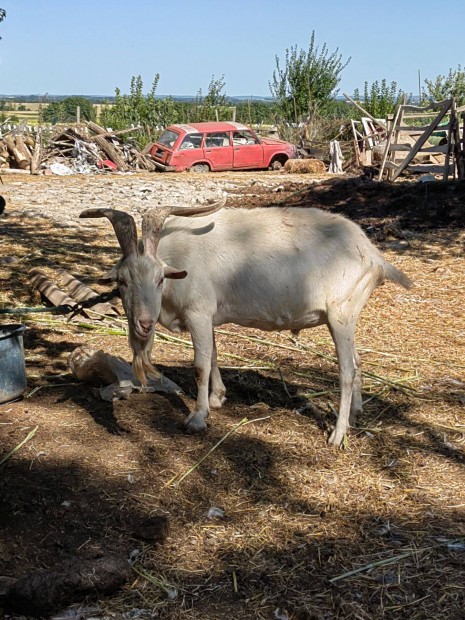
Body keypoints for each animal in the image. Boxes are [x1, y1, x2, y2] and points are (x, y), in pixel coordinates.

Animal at [81, 199, 412, 446]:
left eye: (160, 278)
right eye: (122, 282)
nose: (144, 324)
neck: (177, 261)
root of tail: (374, 256)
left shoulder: (198, 312)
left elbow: (200, 365)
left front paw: (197, 417)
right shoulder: (209, 316)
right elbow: (213, 355)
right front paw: (217, 399)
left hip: (340, 314)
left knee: (346, 370)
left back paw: (338, 434)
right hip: (349, 316)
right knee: (358, 362)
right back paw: (355, 415)